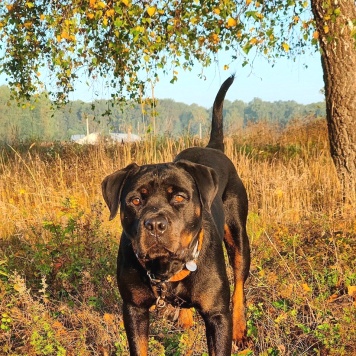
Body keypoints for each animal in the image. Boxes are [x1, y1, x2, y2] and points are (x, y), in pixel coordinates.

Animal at [101, 76, 250, 356]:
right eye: (135, 200)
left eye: (180, 197)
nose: (155, 224)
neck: (166, 269)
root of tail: (212, 147)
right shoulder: (134, 309)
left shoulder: (217, 316)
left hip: (239, 238)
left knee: (239, 286)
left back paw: (240, 329)